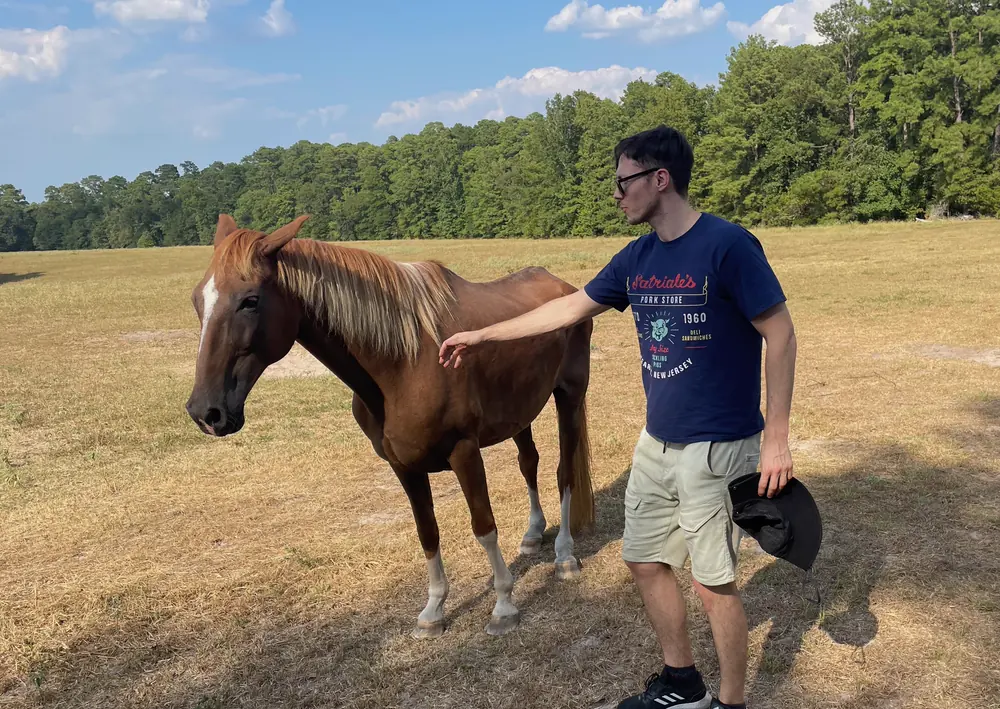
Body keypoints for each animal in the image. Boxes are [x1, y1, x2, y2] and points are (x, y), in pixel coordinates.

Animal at [185, 214, 596, 638]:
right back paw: (532, 535)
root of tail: (563, 286)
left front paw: (503, 604)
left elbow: (483, 526)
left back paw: (565, 555)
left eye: (250, 300)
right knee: (528, 463)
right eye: (197, 299)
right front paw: (433, 611)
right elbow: (427, 532)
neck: (404, 362)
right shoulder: (402, 465)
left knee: (564, 472)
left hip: (568, 396)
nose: (206, 412)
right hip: (518, 411)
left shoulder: (464, 451)